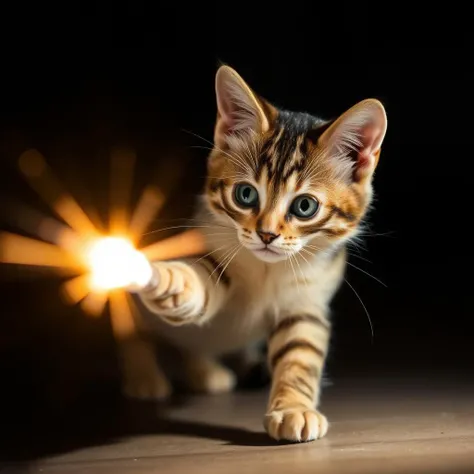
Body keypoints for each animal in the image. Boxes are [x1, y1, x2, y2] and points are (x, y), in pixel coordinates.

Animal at [117, 65, 386, 442]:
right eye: (245, 195)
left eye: (305, 206)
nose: (267, 234)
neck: (268, 270)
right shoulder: (210, 246)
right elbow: (197, 282)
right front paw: (172, 283)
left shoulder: (307, 301)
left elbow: (301, 353)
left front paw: (293, 408)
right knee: (129, 326)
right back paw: (145, 375)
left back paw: (204, 371)